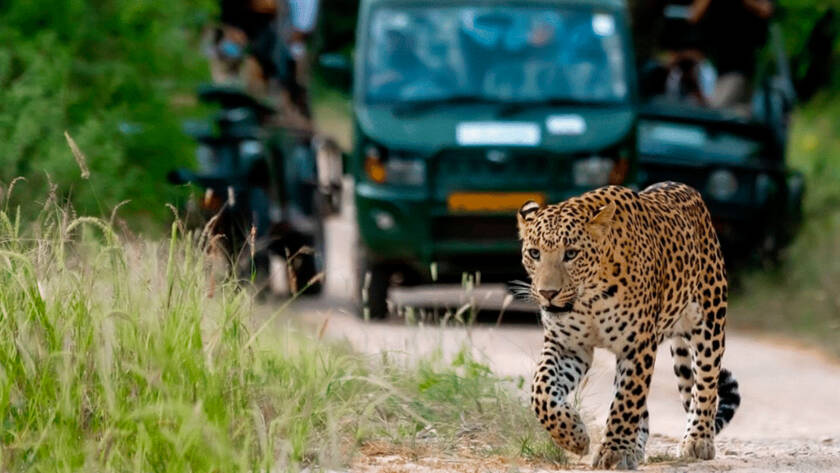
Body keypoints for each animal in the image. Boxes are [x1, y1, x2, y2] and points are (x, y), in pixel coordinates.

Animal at [516, 182, 740, 470]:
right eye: (534, 253)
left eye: (571, 254)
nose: (547, 293)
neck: (589, 298)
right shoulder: (567, 346)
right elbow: (541, 391)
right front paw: (574, 436)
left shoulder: (637, 346)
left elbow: (625, 401)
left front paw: (613, 452)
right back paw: (635, 448)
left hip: (709, 322)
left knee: (705, 382)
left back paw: (698, 439)